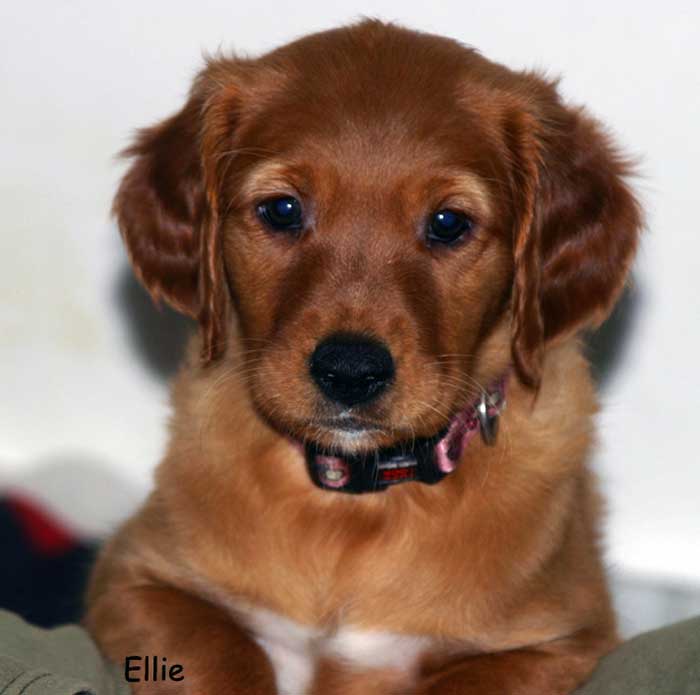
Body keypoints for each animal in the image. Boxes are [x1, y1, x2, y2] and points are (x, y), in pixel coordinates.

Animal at [86, 20, 640, 695]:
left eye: (448, 222)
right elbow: (221, 651)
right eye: (283, 210)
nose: (350, 372)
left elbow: (463, 684)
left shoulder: (564, 640)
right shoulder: (135, 576)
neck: (358, 500)